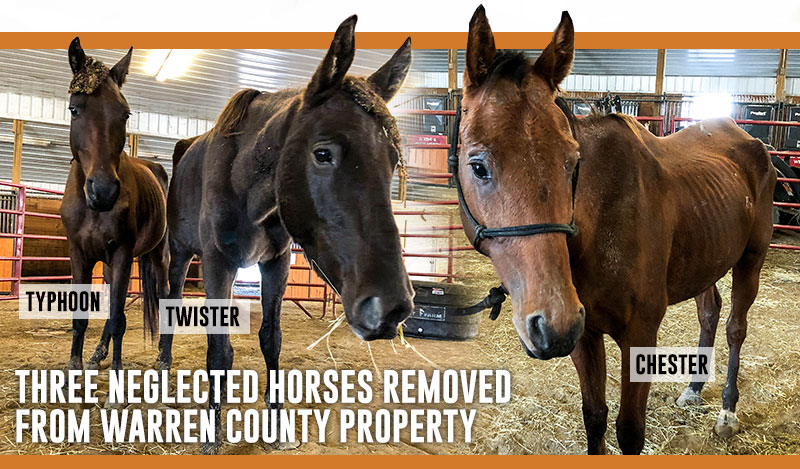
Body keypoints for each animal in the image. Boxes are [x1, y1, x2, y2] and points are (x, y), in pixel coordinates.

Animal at [62, 38, 169, 372]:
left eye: (125, 114)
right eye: (74, 109)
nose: (104, 191)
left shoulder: (123, 253)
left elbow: (119, 320)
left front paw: (118, 375)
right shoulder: (79, 255)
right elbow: (83, 318)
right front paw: (76, 366)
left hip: (158, 255)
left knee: (165, 295)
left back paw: (164, 356)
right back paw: (98, 354)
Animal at [155, 16, 414, 453]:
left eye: (393, 160)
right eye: (322, 153)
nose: (391, 307)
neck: (245, 185)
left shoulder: (276, 263)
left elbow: (270, 339)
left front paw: (277, 427)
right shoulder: (218, 265)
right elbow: (219, 350)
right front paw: (212, 434)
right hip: (180, 254)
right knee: (171, 299)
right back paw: (163, 360)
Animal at [457, 6, 775, 454]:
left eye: (573, 161)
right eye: (478, 165)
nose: (551, 323)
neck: (599, 224)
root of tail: (752, 141)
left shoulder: (639, 333)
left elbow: (629, 431)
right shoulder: (584, 336)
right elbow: (595, 418)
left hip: (751, 259)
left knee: (734, 328)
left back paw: (727, 411)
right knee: (710, 313)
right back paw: (694, 388)